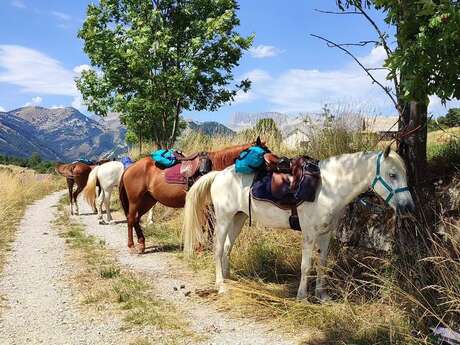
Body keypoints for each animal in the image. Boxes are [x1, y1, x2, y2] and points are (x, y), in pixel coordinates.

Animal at [120, 137, 268, 253]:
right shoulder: (205, 205)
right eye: (263, 155)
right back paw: (132, 246)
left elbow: (211, 227)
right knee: (131, 219)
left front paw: (208, 246)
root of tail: (130, 168)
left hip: (148, 200)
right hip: (135, 200)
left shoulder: (210, 206)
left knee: (136, 219)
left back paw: (142, 244)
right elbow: (204, 226)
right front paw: (201, 247)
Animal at [182, 147, 414, 298]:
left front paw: (321, 295)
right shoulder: (309, 234)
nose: (408, 207)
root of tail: (218, 174)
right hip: (223, 219)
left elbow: (322, 263)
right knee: (218, 248)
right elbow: (306, 265)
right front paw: (302, 296)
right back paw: (221, 285)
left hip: (238, 218)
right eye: (392, 174)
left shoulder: (326, 234)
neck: (328, 188)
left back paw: (228, 278)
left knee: (228, 248)